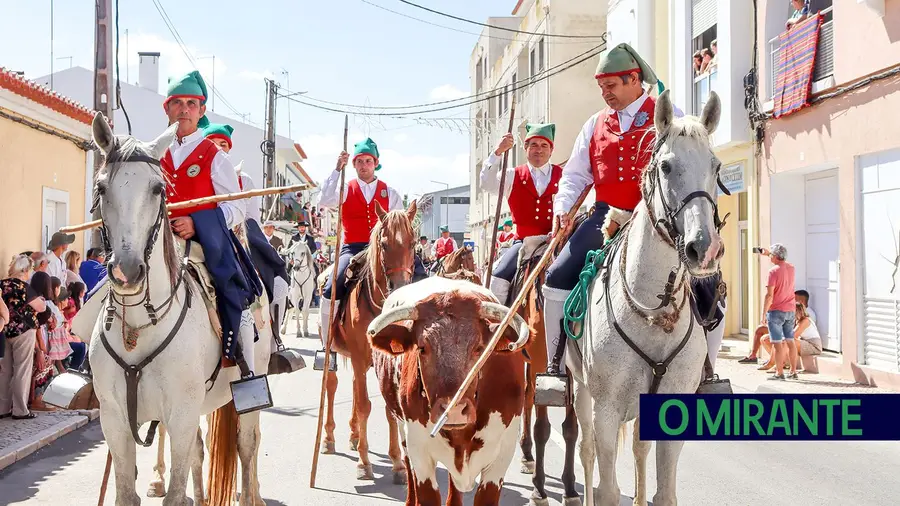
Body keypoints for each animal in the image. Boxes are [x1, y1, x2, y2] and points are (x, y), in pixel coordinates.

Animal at [78, 113, 270, 506]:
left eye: (157, 190)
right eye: (102, 188)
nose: (127, 271)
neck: (139, 326)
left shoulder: (181, 413)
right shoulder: (115, 420)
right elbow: (127, 492)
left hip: (249, 393)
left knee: (247, 447)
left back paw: (251, 494)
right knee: (200, 451)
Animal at [320, 199, 418, 482]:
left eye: (412, 243)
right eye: (384, 244)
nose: (399, 286)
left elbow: (388, 408)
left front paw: (397, 463)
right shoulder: (358, 355)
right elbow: (365, 406)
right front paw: (364, 464)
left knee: (354, 385)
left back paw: (354, 435)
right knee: (332, 385)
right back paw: (329, 438)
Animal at [368, 276, 532, 506]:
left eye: (479, 348)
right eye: (422, 348)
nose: (453, 411)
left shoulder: (501, 457)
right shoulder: (420, 454)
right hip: (401, 427)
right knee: (406, 460)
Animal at [568, 91, 724, 506]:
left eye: (716, 165)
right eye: (666, 166)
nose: (703, 248)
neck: (656, 311)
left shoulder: (670, 408)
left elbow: (664, 491)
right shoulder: (606, 410)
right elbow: (607, 489)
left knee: (639, 449)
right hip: (581, 390)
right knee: (585, 451)